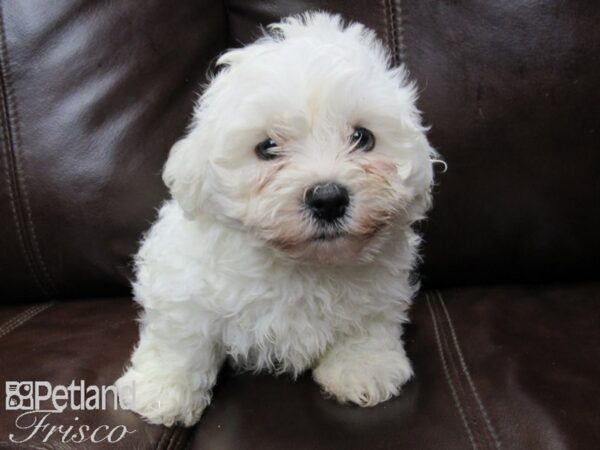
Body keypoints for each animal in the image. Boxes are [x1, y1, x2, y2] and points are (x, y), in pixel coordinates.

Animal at [117, 10, 436, 426]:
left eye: (363, 137)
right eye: (267, 147)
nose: (328, 199)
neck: (301, 265)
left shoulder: (380, 294)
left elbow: (367, 327)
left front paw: (363, 369)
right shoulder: (183, 285)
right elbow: (181, 338)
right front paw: (162, 391)